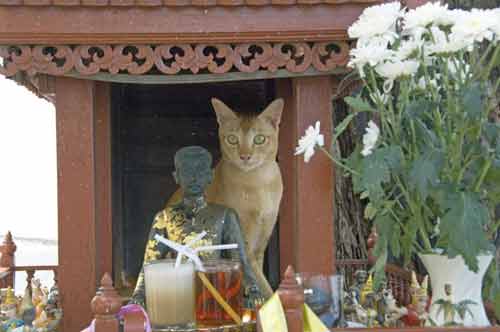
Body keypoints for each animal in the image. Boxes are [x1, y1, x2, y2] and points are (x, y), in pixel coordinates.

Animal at [170, 97, 284, 296]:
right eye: (232, 139)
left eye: (259, 139)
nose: (245, 156)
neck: (259, 183)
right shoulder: (244, 246)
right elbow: (264, 287)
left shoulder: (260, 243)